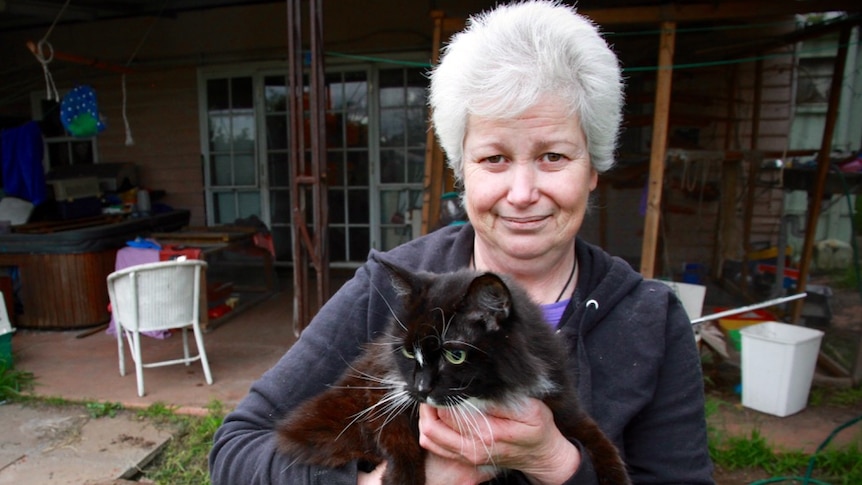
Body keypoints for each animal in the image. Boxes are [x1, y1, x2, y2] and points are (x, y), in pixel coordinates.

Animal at [278, 260, 636, 482]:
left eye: (456, 355)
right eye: (407, 351)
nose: (421, 388)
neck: (488, 396)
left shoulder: (557, 397)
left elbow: (596, 436)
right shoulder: (380, 389)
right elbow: (398, 436)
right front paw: (402, 478)